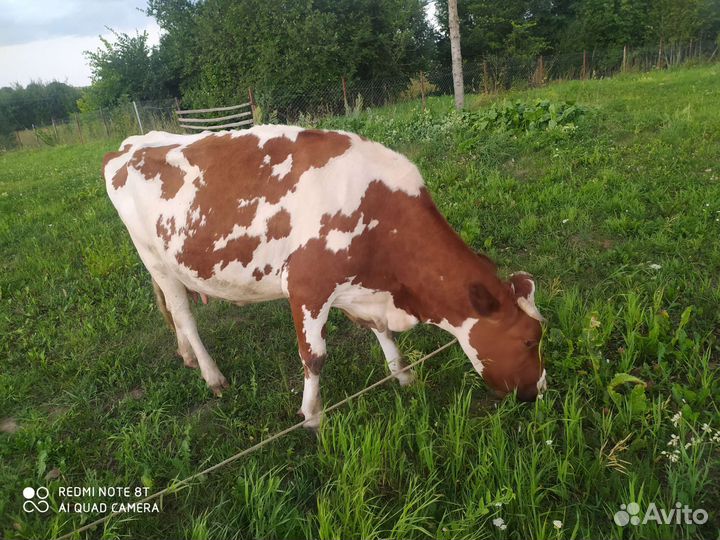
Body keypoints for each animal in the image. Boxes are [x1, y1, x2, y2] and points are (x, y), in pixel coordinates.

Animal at [103, 126, 546, 429]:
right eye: (528, 340)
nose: (539, 391)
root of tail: (127, 146)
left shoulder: (361, 288)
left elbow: (381, 330)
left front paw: (403, 374)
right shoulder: (307, 287)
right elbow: (314, 357)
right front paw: (313, 415)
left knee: (174, 313)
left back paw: (188, 356)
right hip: (154, 258)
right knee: (184, 314)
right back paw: (212, 375)